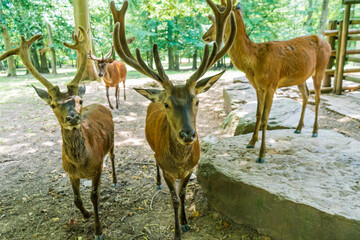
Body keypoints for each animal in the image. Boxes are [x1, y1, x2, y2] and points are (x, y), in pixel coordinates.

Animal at [0, 27, 116, 239]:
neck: (83, 163)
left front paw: (98, 230)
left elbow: (94, 196)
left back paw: (114, 180)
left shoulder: (97, 167)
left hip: (112, 142)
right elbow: (76, 199)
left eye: (79, 100)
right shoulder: (69, 172)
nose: (73, 117)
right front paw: (86, 214)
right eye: (53, 104)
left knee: (112, 157)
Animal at [110, 0, 236, 240]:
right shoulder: (168, 170)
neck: (178, 164)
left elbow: (184, 193)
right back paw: (157, 182)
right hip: (151, 146)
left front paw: (186, 223)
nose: (187, 134)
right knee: (153, 158)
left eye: (197, 101)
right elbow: (174, 199)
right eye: (167, 104)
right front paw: (177, 231)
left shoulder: (191, 169)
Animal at [201, 0, 330, 163]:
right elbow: (257, 114)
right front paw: (251, 142)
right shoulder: (258, 88)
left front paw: (261, 154)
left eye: (215, 18)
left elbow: (265, 118)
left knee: (318, 98)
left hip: (321, 68)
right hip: (301, 77)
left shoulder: (271, 85)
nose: (205, 36)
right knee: (306, 95)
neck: (255, 62)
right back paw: (298, 128)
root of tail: (328, 44)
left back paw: (314, 131)